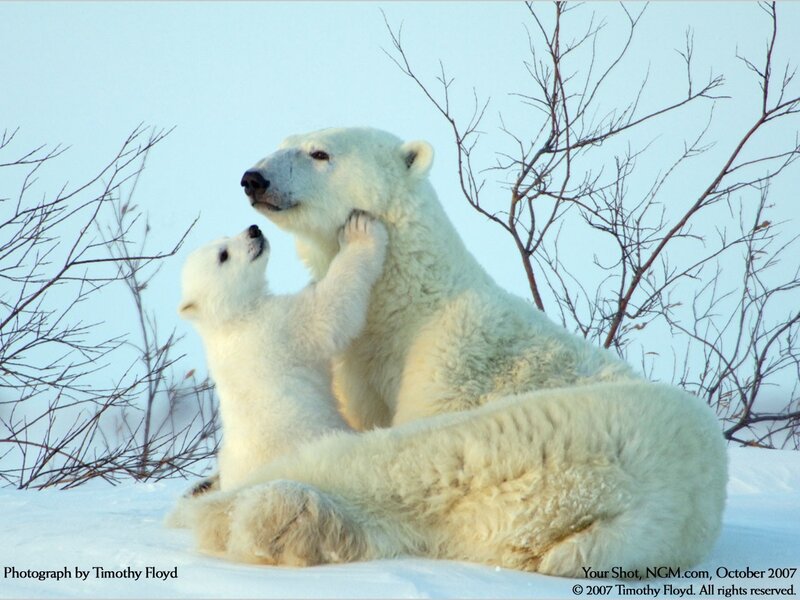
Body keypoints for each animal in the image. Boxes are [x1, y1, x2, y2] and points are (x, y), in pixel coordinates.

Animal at [177, 211, 387, 491]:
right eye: (223, 255)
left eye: (224, 237)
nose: (253, 230)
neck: (231, 320)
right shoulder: (278, 326)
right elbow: (328, 314)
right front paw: (360, 232)